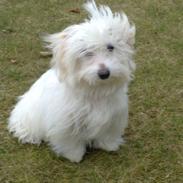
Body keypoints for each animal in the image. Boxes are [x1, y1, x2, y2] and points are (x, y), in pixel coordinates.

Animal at [7, 0, 135, 162]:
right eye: (86, 52)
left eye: (110, 47)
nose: (104, 73)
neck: (94, 90)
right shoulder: (65, 122)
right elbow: (70, 141)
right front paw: (74, 156)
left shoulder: (114, 116)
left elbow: (108, 134)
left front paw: (109, 145)